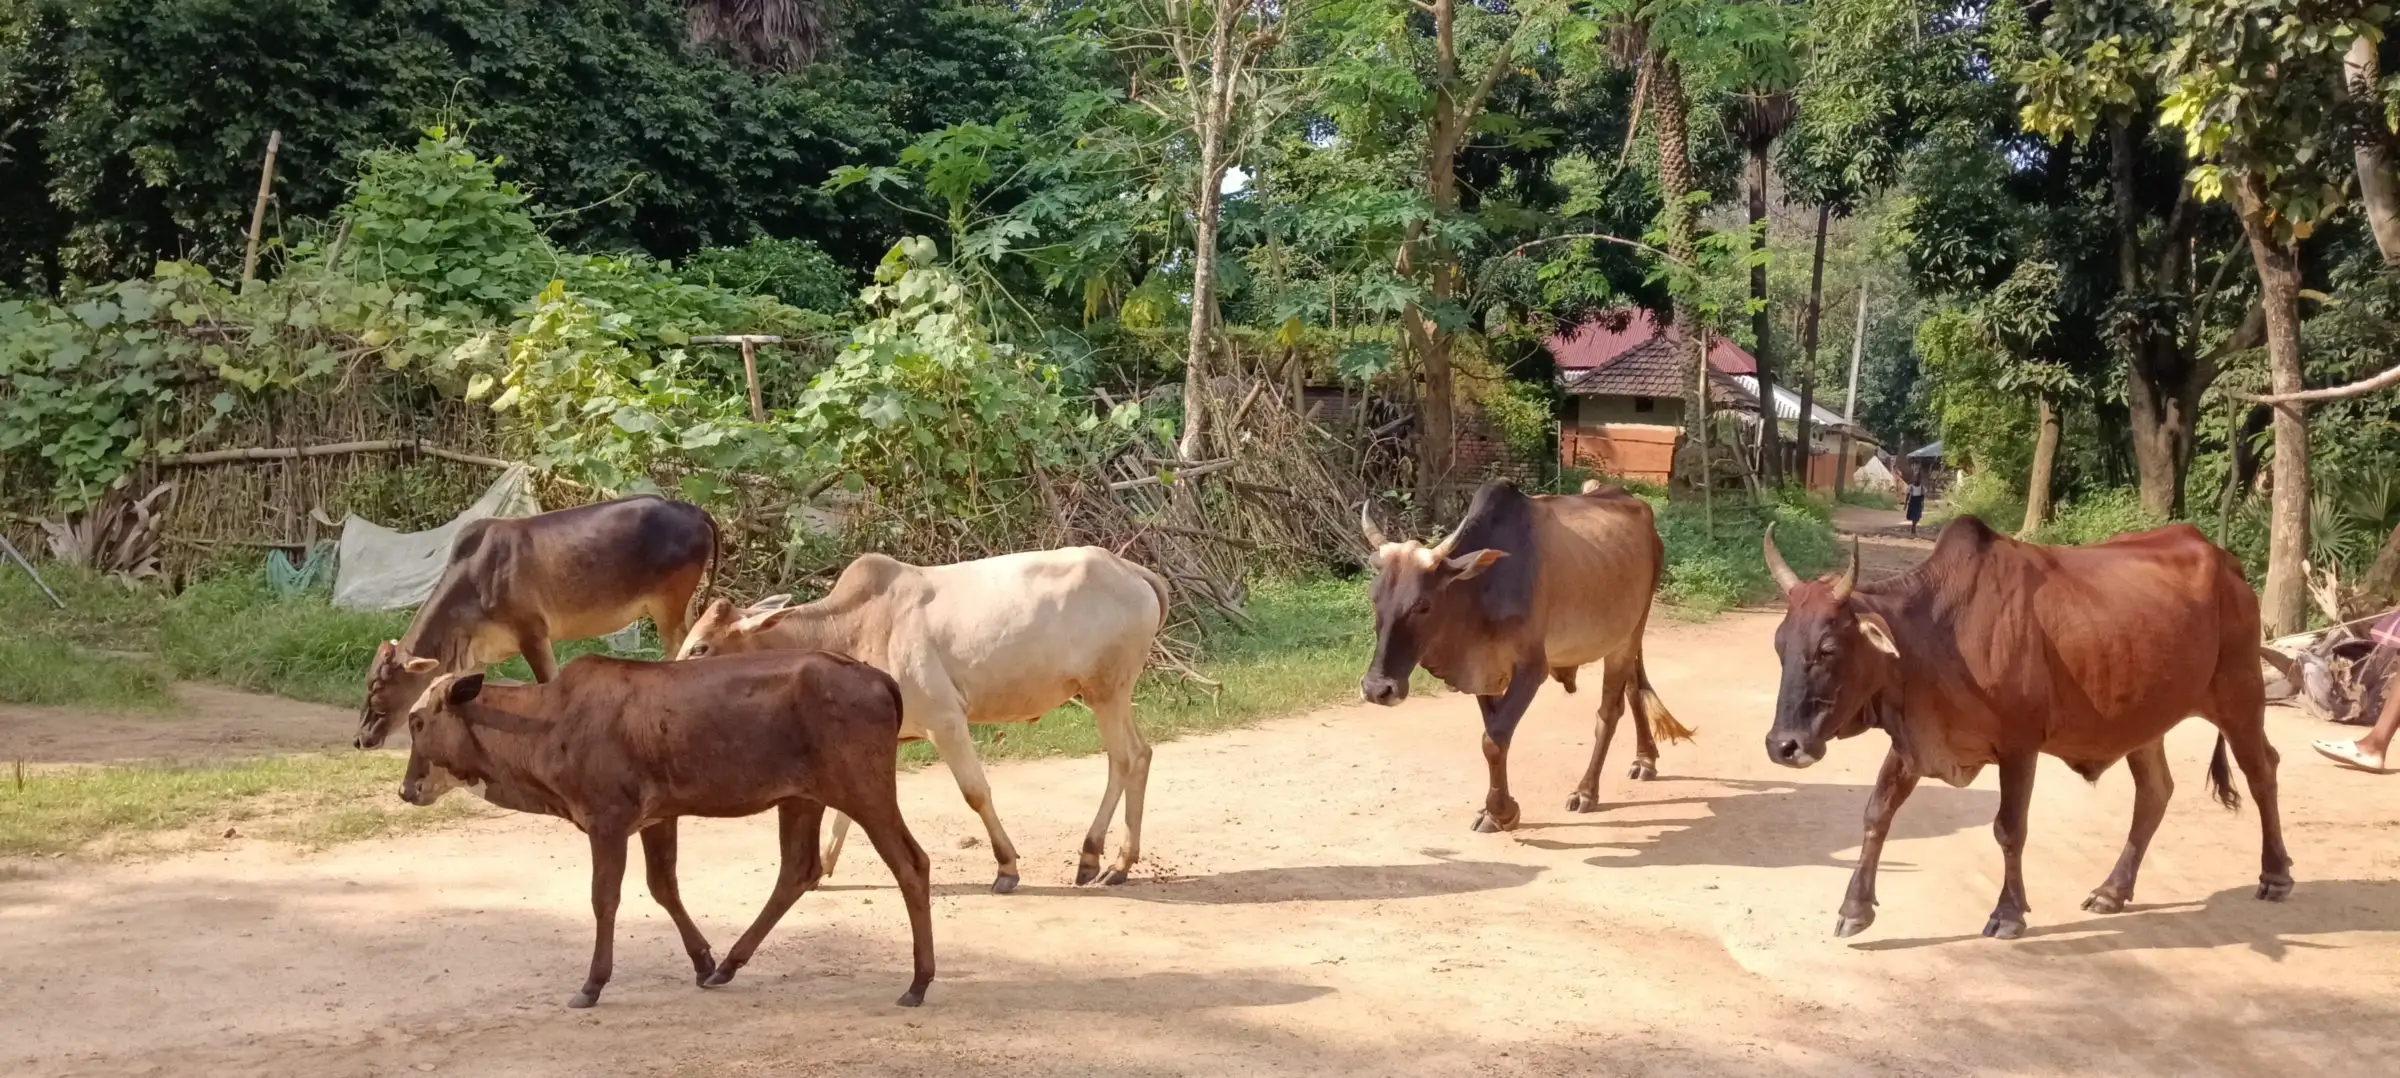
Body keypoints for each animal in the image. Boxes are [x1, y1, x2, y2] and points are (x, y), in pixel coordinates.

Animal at [395, 650, 935, 1009]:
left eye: (417, 722)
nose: (406, 788)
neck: (546, 725)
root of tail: (877, 676)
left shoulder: (608, 819)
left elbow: (605, 899)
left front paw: (592, 984)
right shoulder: (658, 817)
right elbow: (663, 887)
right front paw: (702, 961)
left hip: (863, 790)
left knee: (911, 864)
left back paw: (918, 982)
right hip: (802, 798)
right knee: (797, 872)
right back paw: (729, 965)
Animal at [675, 546, 1169, 894]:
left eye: (700, 647)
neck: (851, 629)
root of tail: (1130, 570)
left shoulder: (945, 720)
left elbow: (975, 792)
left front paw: (1006, 867)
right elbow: (846, 809)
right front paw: (823, 867)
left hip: (1106, 691)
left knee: (1125, 758)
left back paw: (1101, 859)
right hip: (1110, 694)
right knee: (1141, 755)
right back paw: (1112, 861)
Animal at [1359, 480, 1690, 833]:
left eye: (1423, 605)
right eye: (1374, 598)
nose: (1377, 689)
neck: (1480, 589)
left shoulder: (1532, 669)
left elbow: (1494, 739)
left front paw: (1502, 812)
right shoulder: (1483, 672)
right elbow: (1493, 734)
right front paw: (1496, 812)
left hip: (1627, 637)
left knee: (1609, 713)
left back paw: (1586, 791)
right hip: (1621, 636)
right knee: (1632, 689)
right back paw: (1645, 759)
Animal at [1760, 516, 2292, 941]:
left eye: (1827, 649)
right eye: (1780, 645)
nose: (1783, 745)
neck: (1936, 637)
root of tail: (2226, 561)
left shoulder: (2019, 747)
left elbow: (2009, 830)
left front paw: (2008, 914)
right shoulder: (1913, 743)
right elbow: (1877, 814)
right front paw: (1855, 908)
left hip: (2240, 694)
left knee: (2262, 770)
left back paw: (2276, 875)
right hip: (2146, 721)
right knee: (2155, 792)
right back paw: (2112, 891)